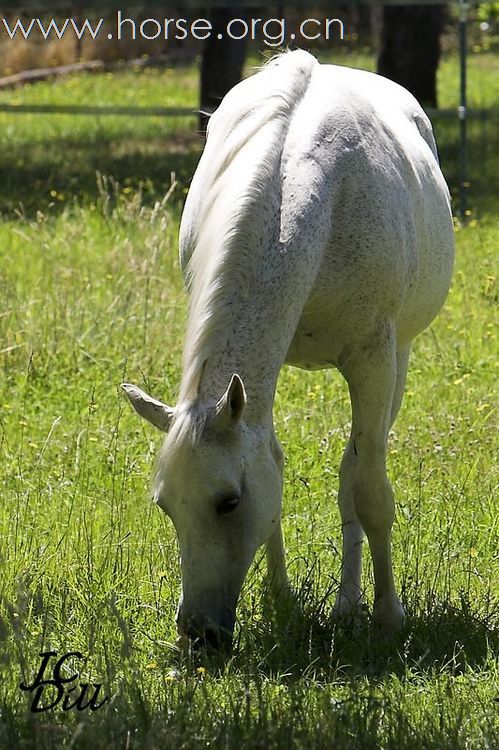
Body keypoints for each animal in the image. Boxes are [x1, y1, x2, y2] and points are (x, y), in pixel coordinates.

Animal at [121, 51, 454, 652]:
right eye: (165, 504)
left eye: (227, 502)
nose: (197, 633)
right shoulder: (256, 387)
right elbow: (274, 468)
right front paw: (280, 601)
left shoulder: (374, 359)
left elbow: (369, 491)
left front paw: (388, 617)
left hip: (399, 361)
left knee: (355, 471)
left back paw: (350, 604)